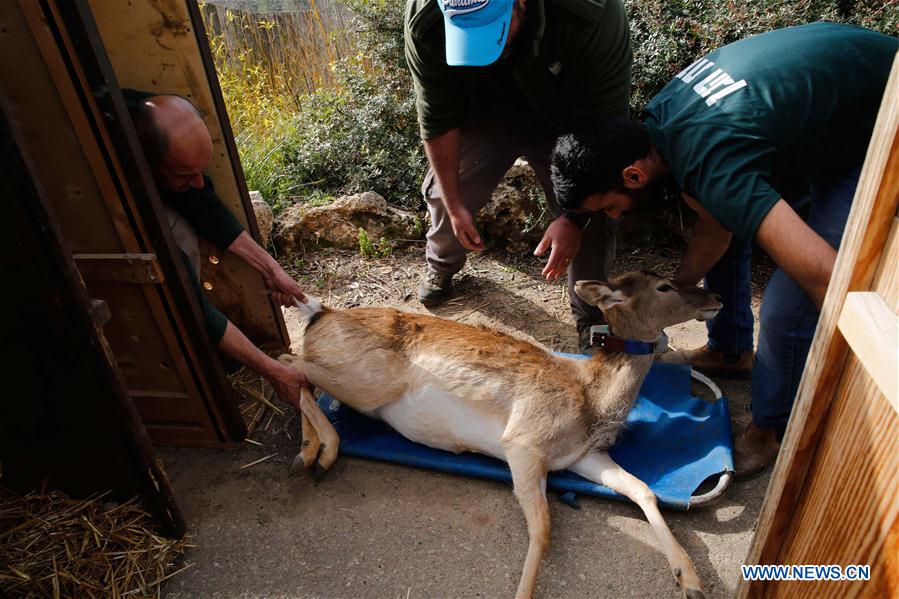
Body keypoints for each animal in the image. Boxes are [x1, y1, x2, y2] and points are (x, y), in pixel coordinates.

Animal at [278, 271, 721, 599]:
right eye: (663, 285)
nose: (713, 295)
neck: (593, 402)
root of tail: (320, 312)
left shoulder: (583, 455)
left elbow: (642, 489)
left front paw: (691, 580)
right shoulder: (524, 442)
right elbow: (543, 529)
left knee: (295, 367)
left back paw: (308, 451)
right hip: (369, 381)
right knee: (290, 360)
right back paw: (324, 453)